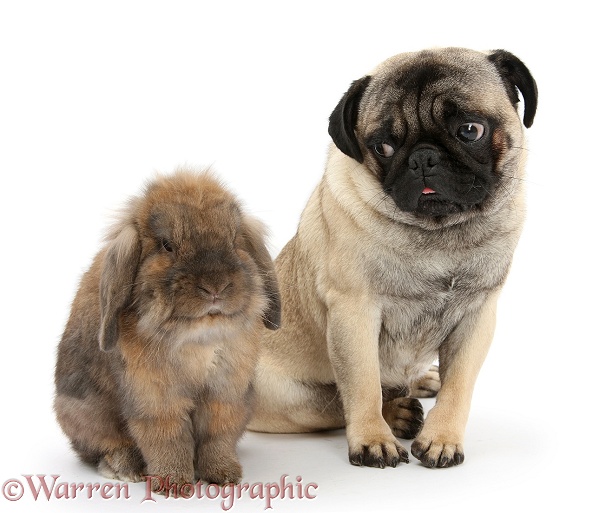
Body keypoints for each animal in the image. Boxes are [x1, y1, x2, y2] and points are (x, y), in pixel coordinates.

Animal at [54, 169, 282, 488]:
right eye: (167, 245)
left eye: (234, 239)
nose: (215, 287)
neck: (197, 336)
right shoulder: (156, 399)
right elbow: (166, 438)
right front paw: (174, 484)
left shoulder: (226, 394)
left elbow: (217, 436)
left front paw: (224, 476)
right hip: (86, 414)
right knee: (101, 446)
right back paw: (125, 468)